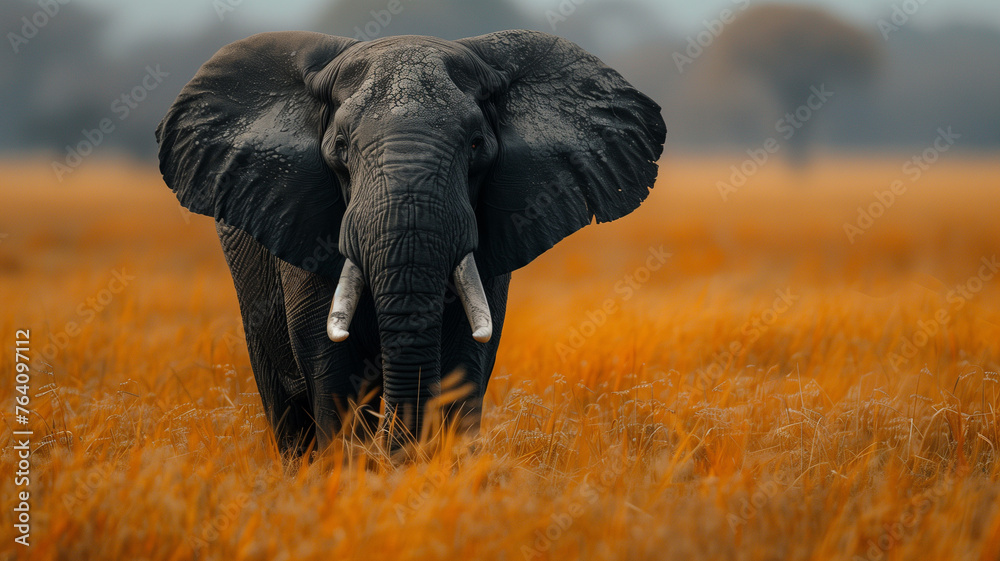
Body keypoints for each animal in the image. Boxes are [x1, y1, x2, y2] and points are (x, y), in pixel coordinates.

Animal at [156, 29, 665, 455]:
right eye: (341, 148)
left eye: (476, 145)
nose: (391, 452)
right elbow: (329, 365)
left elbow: (466, 361)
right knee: (284, 408)